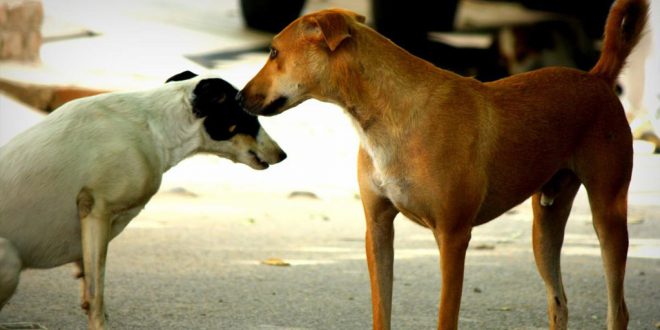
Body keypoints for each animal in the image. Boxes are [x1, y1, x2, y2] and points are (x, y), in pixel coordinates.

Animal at [0, 71, 286, 328]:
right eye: (250, 117)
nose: (283, 155)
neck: (155, 129)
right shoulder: (96, 212)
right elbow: (96, 292)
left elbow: (89, 283)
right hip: (11, 261)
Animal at [238, 1, 648, 328]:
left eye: (273, 52)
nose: (239, 98)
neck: (390, 114)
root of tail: (597, 77)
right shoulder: (378, 229)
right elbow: (381, 308)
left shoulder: (453, 236)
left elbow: (446, 315)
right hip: (545, 224)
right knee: (558, 302)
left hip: (608, 215)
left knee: (619, 309)